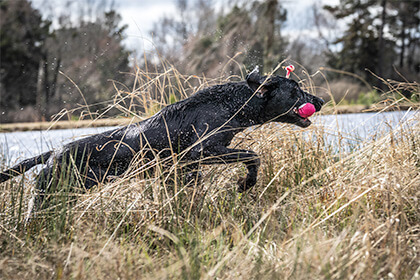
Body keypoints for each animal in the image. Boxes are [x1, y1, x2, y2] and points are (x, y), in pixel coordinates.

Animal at [0, 66, 324, 212]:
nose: (319, 101)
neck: (233, 104)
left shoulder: (185, 168)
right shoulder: (203, 151)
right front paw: (245, 184)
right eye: (296, 89)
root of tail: (53, 152)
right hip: (51, 192)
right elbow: (252, 155)